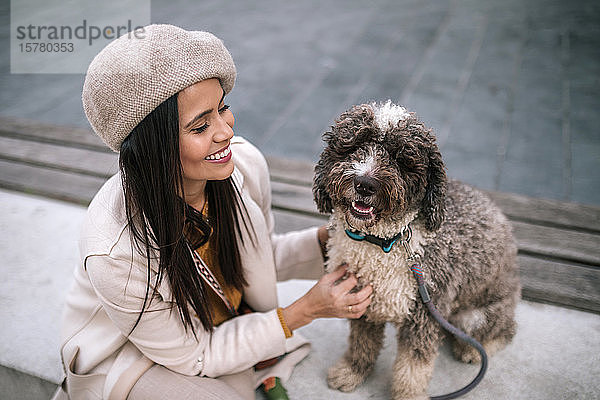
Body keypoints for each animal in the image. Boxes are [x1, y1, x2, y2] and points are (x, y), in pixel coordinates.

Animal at [314, 101, 520, 398]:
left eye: (402, 159)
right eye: (354, 146)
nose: (364, 184)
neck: (384, 243)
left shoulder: (423, 316)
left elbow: (413, 368)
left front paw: (408, 394)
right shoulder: (363, 302)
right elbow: (361, 343)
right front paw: (352, 371)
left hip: (477, 313)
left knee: (504, 331)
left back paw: (472, 349)